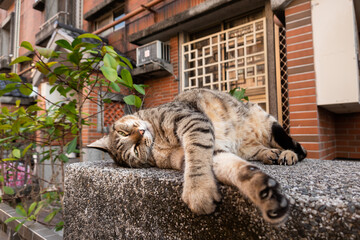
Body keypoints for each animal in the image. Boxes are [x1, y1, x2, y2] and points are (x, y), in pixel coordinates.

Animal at [89, 88, 306, 225]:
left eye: (123, 133)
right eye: (134, 150)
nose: (140, 133)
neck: (157, 143)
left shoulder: (192, 120)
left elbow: (197, 158)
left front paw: (198, 190)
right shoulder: (205, 152)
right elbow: (239, 170)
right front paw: (265, 193)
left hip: (271, 125)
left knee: (299, 149)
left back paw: (287, 154)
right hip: (248, 148)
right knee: (260, 149)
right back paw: (270, 154)